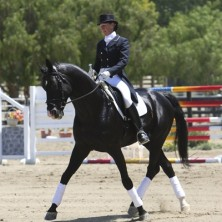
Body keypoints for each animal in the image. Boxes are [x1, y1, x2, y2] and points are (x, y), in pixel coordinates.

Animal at [40, 59, 189, 221]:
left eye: (56, 84)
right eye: (44, 86)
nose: (53, 112)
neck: (94, 108)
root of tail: (162, 96)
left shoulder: (114, 148)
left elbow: (126, 180)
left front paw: (142, 211)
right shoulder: (81, 147)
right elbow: (66, 175)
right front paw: (52, 209)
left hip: (157, 140)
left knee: (152, 168)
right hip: (151, 143)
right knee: (164, 166)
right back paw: (178, 203)